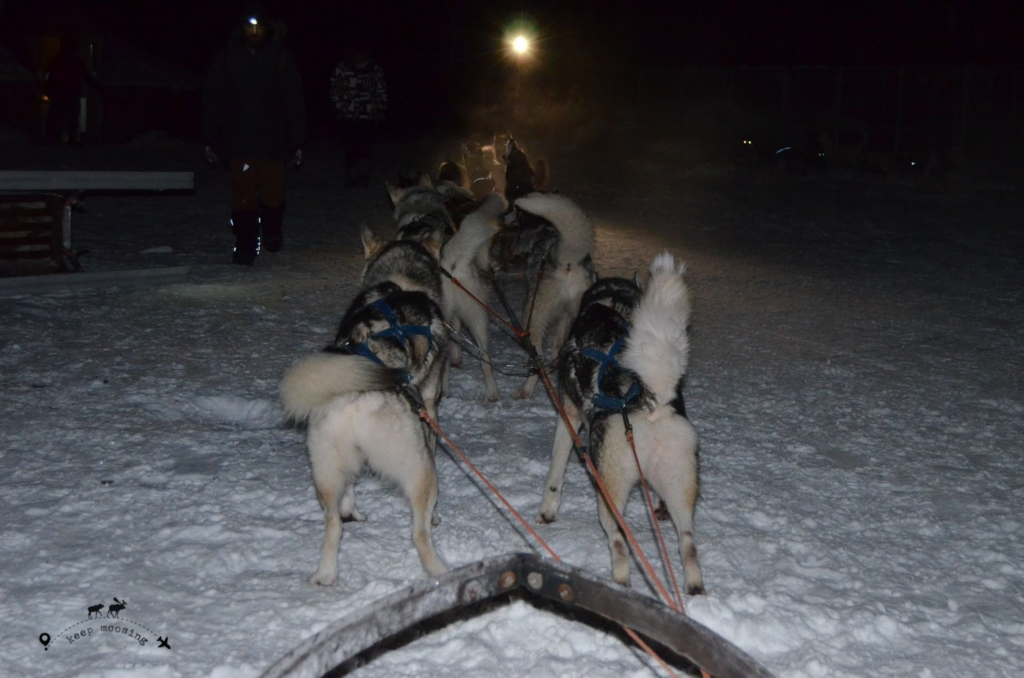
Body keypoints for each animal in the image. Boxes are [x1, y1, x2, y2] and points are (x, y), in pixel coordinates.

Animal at [284, 232, 452, 585]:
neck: (400, 280)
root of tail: (355, 394)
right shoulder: (429, 409)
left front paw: (352, 509)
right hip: (420, 470)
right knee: (419, 534)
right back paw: (441, 572)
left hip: (325, 471)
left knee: (333, 523)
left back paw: (326, 574)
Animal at [536, 253, 704, 594]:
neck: (610, 300)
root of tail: (651, 405)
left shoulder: (569, 415)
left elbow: (555, 472)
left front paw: (548, 510)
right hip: (680, 489)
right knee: (688, 545)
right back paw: (693, 587)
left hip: (608, 493)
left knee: (619, 543)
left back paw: (619, 583)